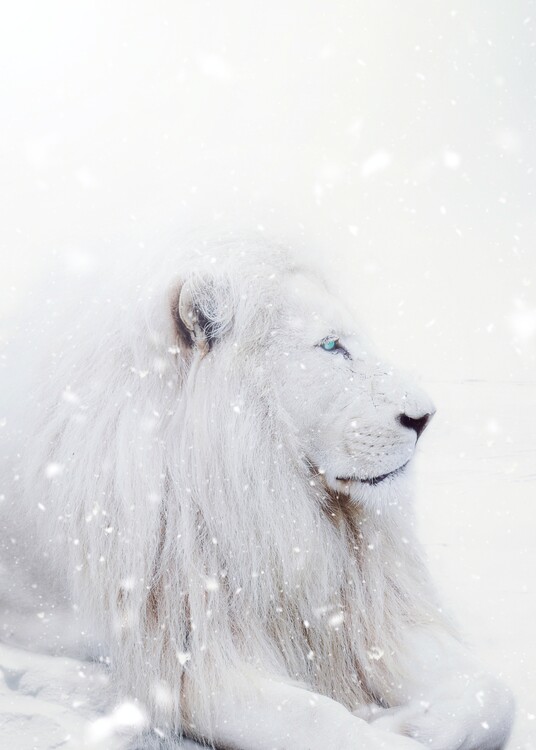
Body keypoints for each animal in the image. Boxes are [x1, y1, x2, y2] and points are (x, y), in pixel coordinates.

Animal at [0, 238, 514, 749]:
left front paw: (419, 722)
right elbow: (316, 719)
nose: (425, 418)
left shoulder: (366, 613)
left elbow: (493, 692)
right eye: (331, 345)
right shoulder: (181, 656)